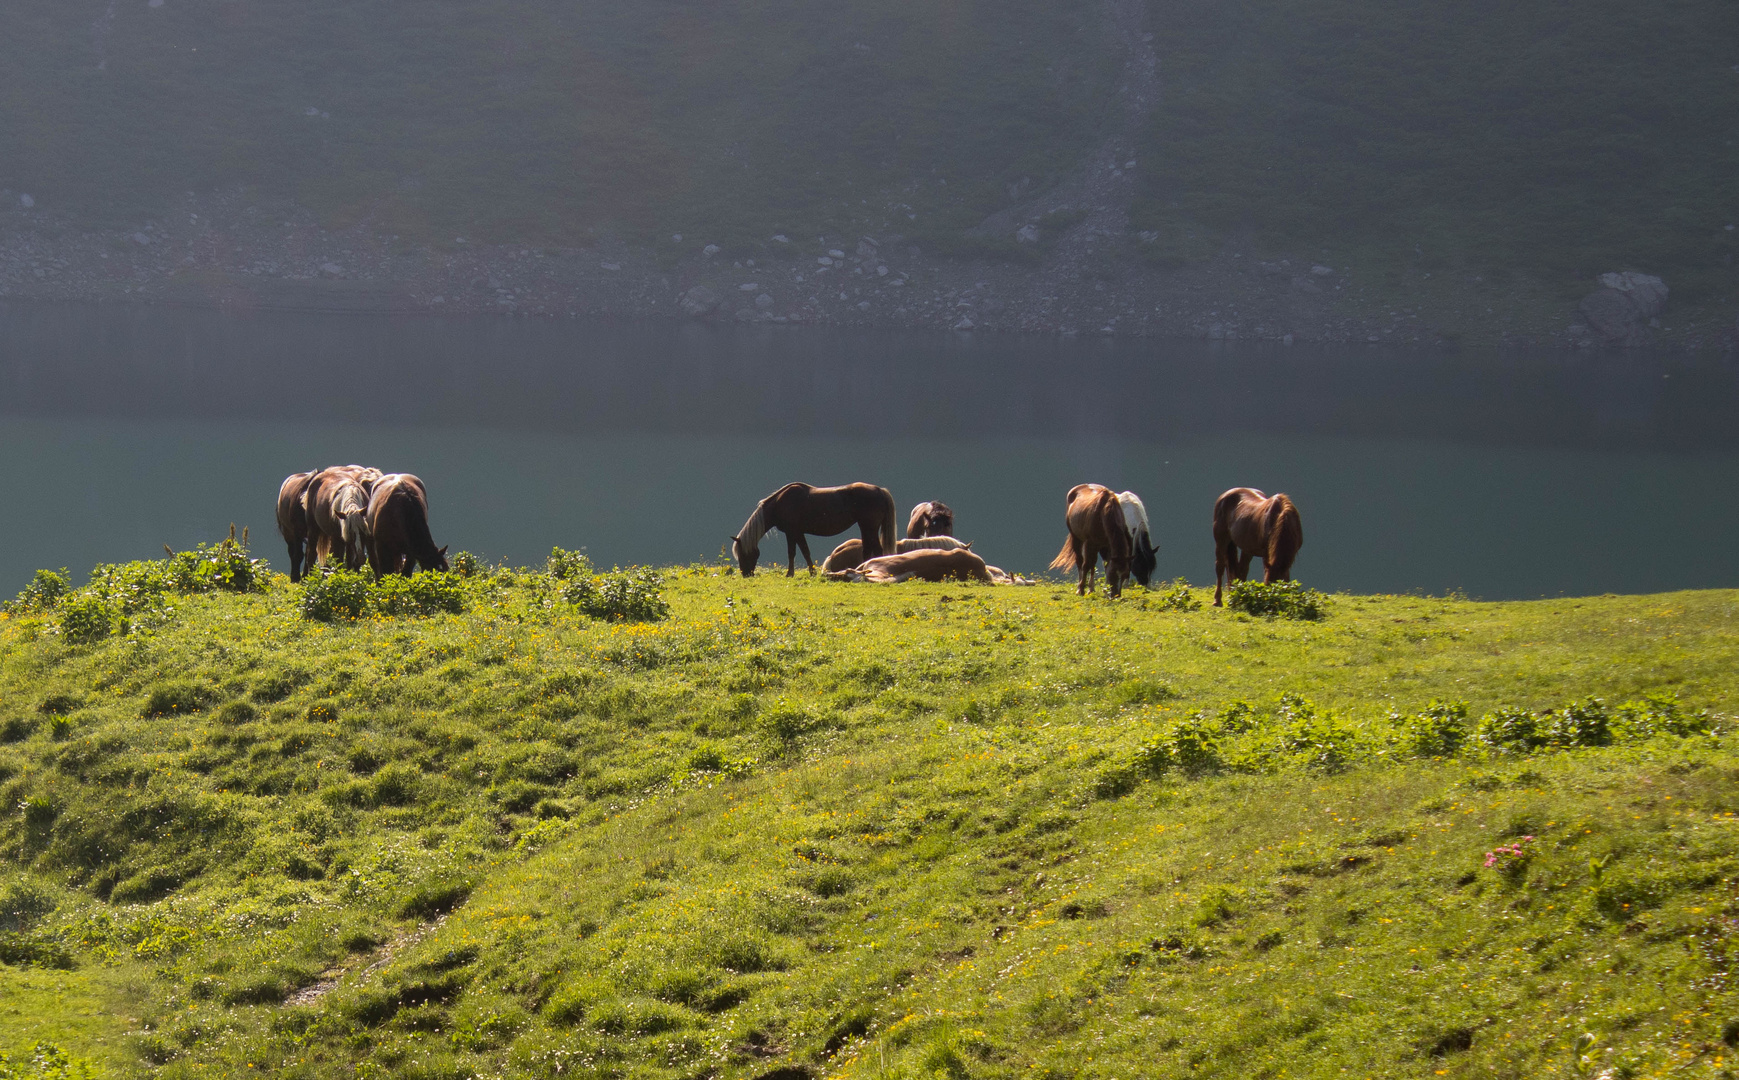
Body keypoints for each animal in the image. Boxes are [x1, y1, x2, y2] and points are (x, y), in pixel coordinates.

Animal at [730, 483, 897, 577]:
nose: (746, 574)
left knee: (876, 548)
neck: (780, 503)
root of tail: (879, 490)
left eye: (743, 554)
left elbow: (794, 552)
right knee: (868, 549)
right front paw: (811, 572)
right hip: (865, 527)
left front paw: (791, 574)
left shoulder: (792, 532)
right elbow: (804, 552)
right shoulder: (797, 533)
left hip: (869, 526)